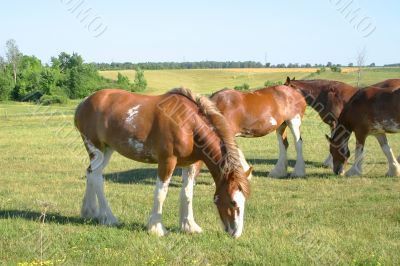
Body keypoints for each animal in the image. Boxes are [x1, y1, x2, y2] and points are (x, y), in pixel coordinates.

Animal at [74, 88, 250, 238]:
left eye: (244, 200)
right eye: (233, 202)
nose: (236, 233)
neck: (188, 123)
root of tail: (84, 102)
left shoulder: (191, 164)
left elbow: (187, 193)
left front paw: (189, 226)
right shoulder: (167, 161)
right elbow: (161, 193)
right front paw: (157, 228)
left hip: (107, 150)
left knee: (90, 173)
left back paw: (90, 212)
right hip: (96, 149)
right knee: (97, 178)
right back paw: (108, 217)